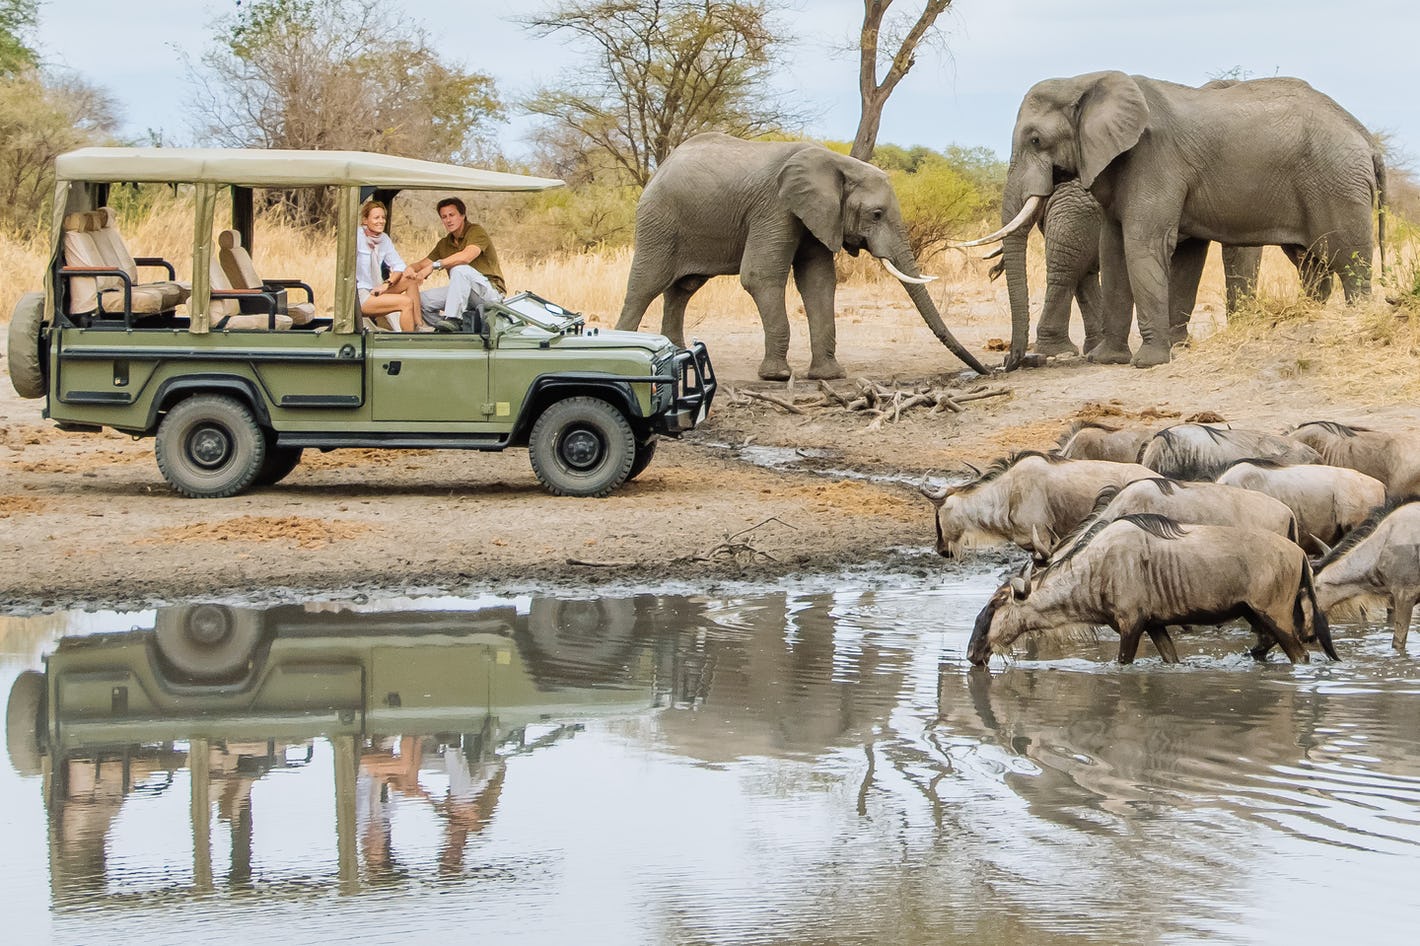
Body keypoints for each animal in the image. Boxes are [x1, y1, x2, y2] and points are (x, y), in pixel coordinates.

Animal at [614, 132, 988, 380]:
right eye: (877, 214)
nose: (985, 370)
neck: (837, 164)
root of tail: (661, 167)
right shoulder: (775, 207)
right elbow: (760, 275)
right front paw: (777, 376)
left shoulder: (818, 214)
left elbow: (818, 280)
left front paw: (828, 375)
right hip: (659, 220)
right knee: (645, 285)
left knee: (683, 289)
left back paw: (678, 359)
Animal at [975, 73, 1383, 368]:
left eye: (1036, 140)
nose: (1011, 363)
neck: (1085, 81)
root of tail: (1366, 138)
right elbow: (1116, 249)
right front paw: (1109, 359)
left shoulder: (1154, 159)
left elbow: (1143, 244)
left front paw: (1149, 362)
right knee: (1312, 262)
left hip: (1337, 182)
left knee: (1349, 259)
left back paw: (1355, 321)